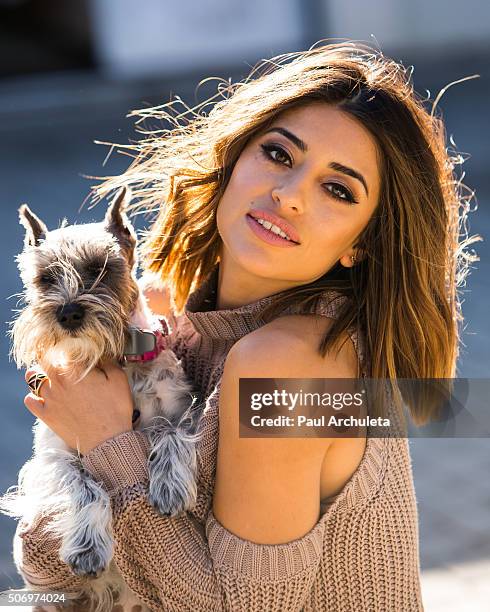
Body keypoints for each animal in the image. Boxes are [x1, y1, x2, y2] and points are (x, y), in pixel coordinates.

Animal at [0, 188, 199, 612]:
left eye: (100, 268)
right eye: (46, 278)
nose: (69, 313)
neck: (116, 359)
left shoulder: (181, 411)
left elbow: (169, 432)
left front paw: (169, 485)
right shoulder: (51, 457)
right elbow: (85, 483)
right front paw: (88, 547)